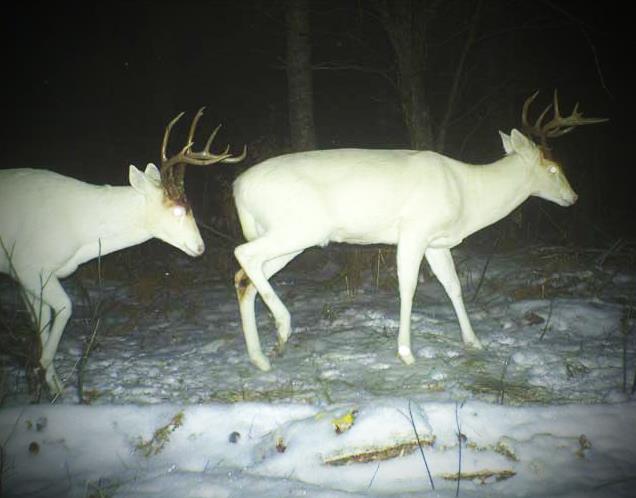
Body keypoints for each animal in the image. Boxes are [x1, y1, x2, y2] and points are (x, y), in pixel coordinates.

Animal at [0, 109, 245, 392]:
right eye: (177, 210)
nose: (200, 247)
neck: (79, 228)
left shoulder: (24, 275)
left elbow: (42, 321)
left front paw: (50, 385)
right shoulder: (27, 264)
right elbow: (63, 308)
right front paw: (45, 373)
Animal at [232, 90, 608, 370]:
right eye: (553, 167)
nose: (574, 197)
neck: (469, 195)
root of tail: (238, 187)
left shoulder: (437, 242)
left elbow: (453, 286)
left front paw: (473, 341)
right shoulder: (414, 230)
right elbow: (409, 286)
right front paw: (406, 352)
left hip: (288, 236)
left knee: (244, 279)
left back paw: (261, 357)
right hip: (300, 228)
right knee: (242, 254)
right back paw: (282, 327)